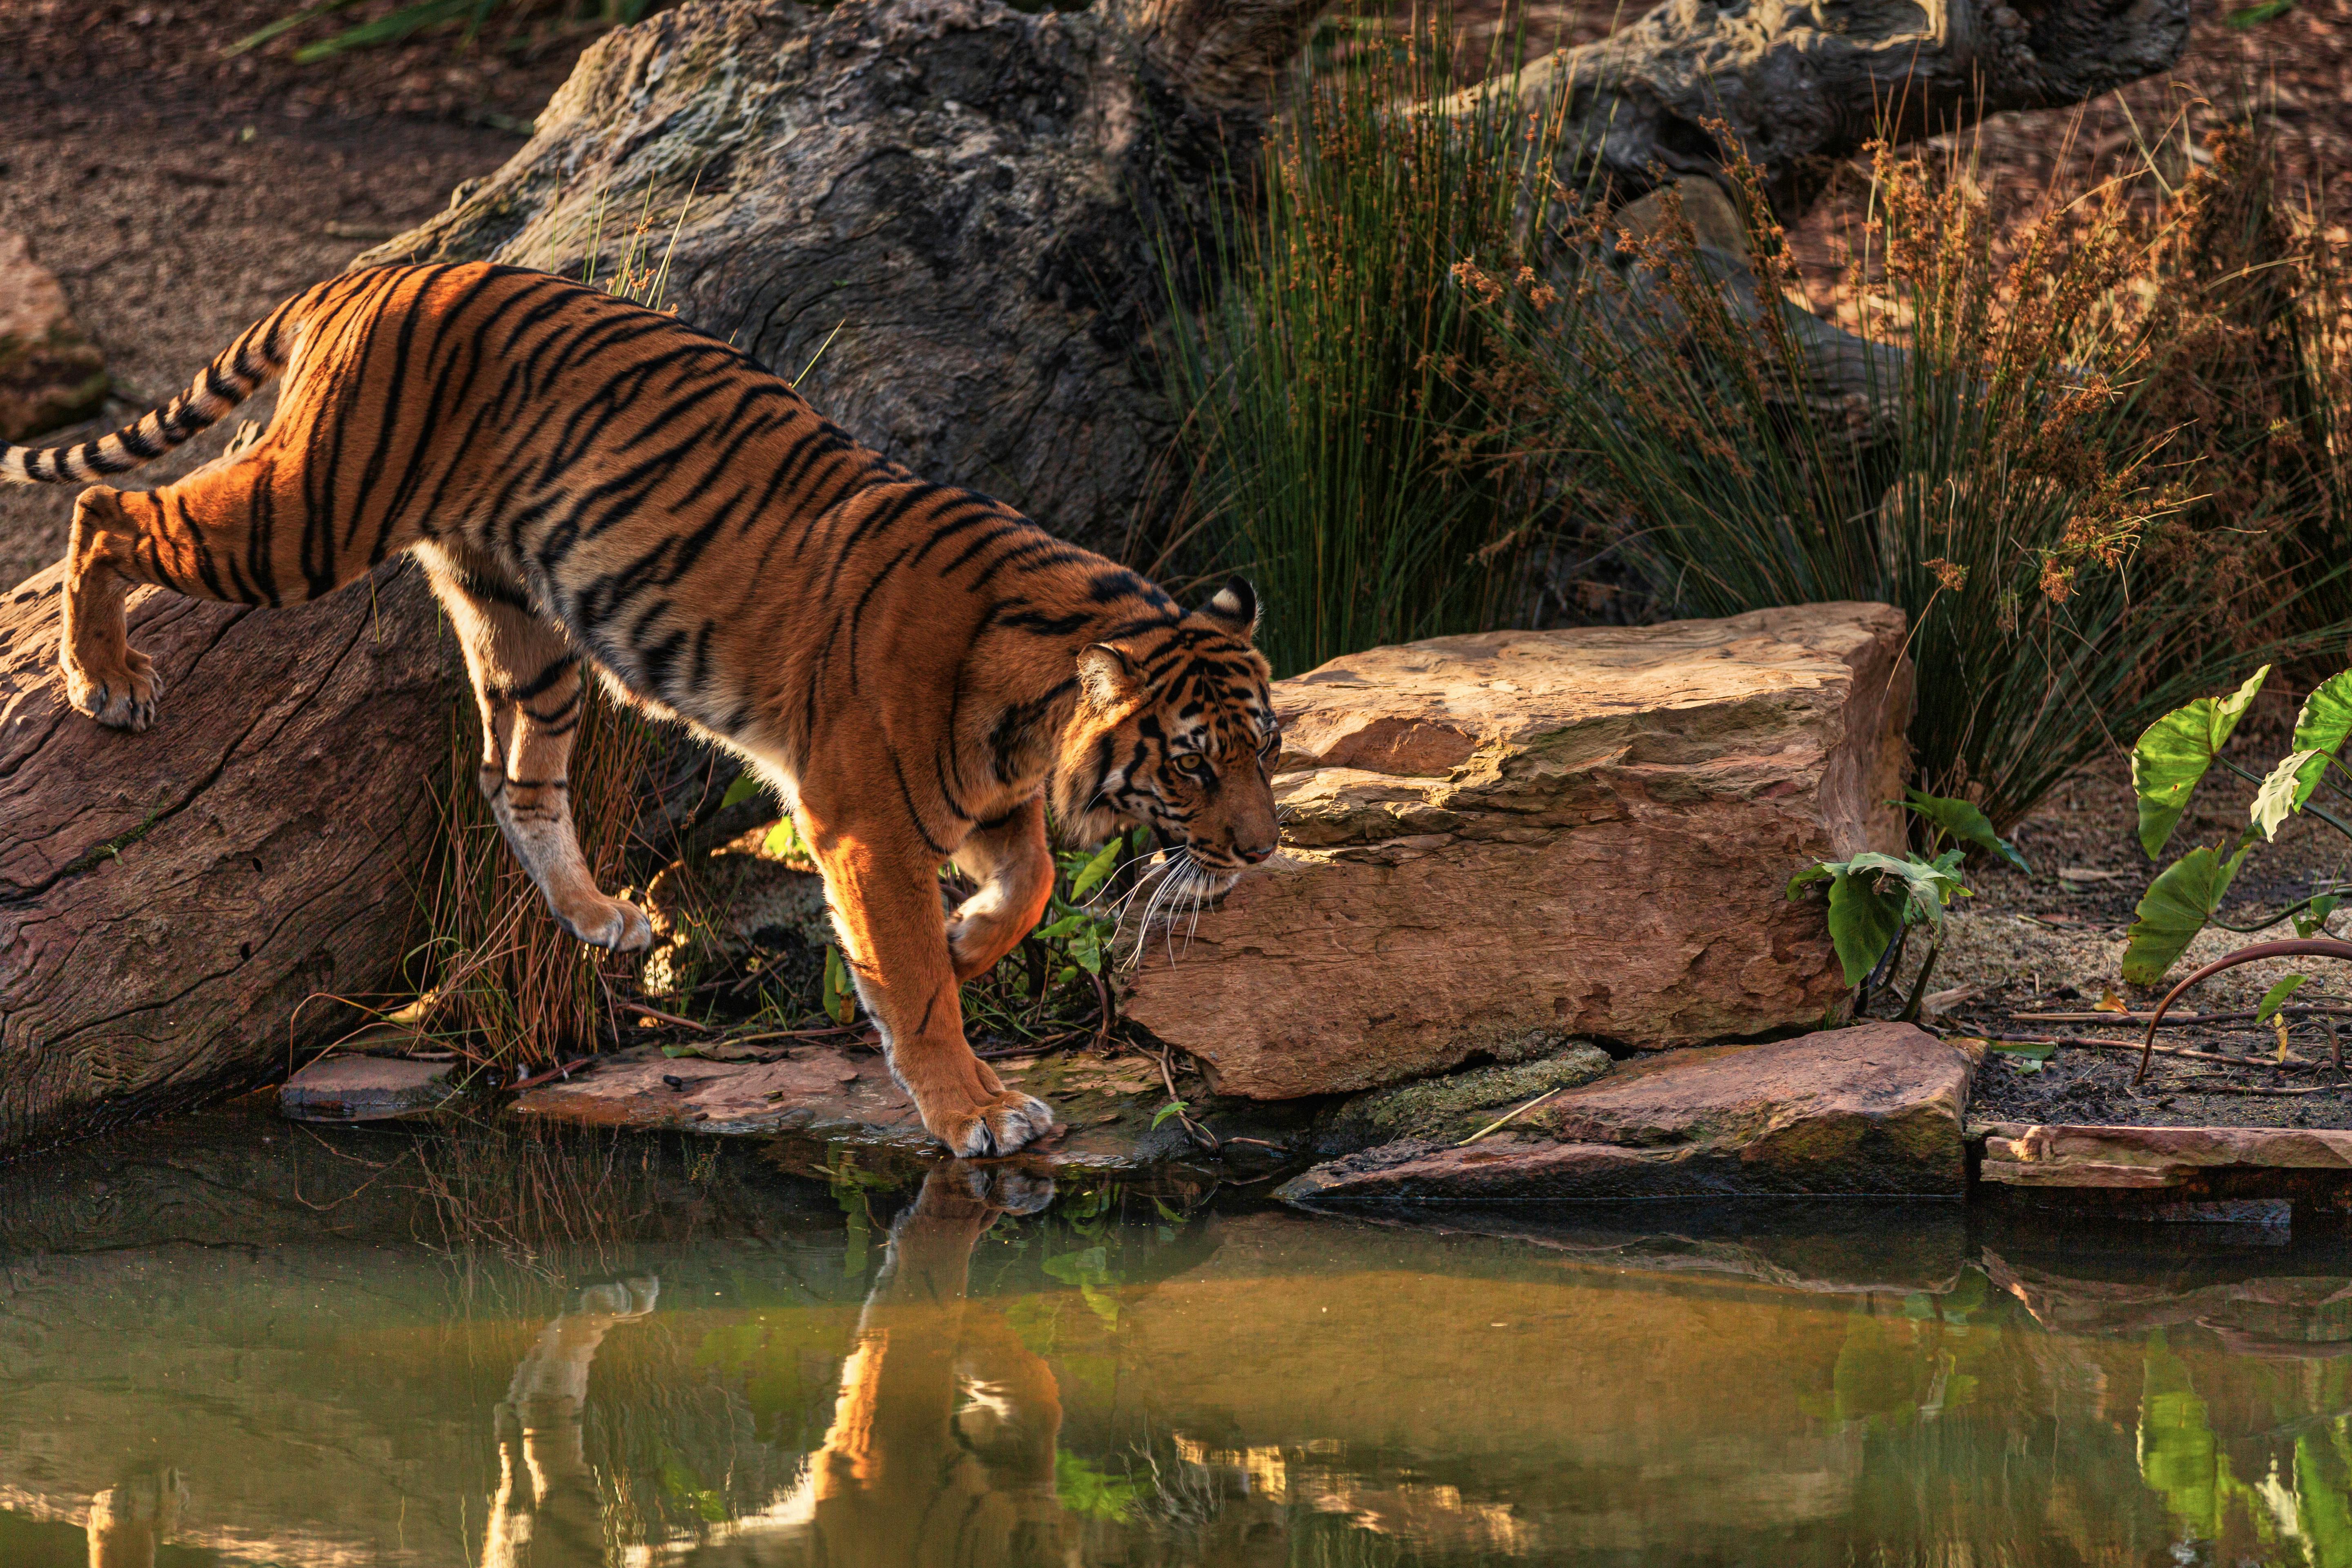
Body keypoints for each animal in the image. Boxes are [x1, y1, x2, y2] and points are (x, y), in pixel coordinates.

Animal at [0, 263, 1279, 1161]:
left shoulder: (978, 800)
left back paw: (598, 917)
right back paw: (103, 676)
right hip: (305, 516)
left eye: (1267, 749)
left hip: (523, 623)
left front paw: (970, 941)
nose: (1265, 852)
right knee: (111, 510)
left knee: (510, 778)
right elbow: (916, 983)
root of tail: (377, 270)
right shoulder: (864, 819)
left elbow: (1034, 884)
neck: (1035, 705)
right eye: (1192, 763)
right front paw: (977, 1107)